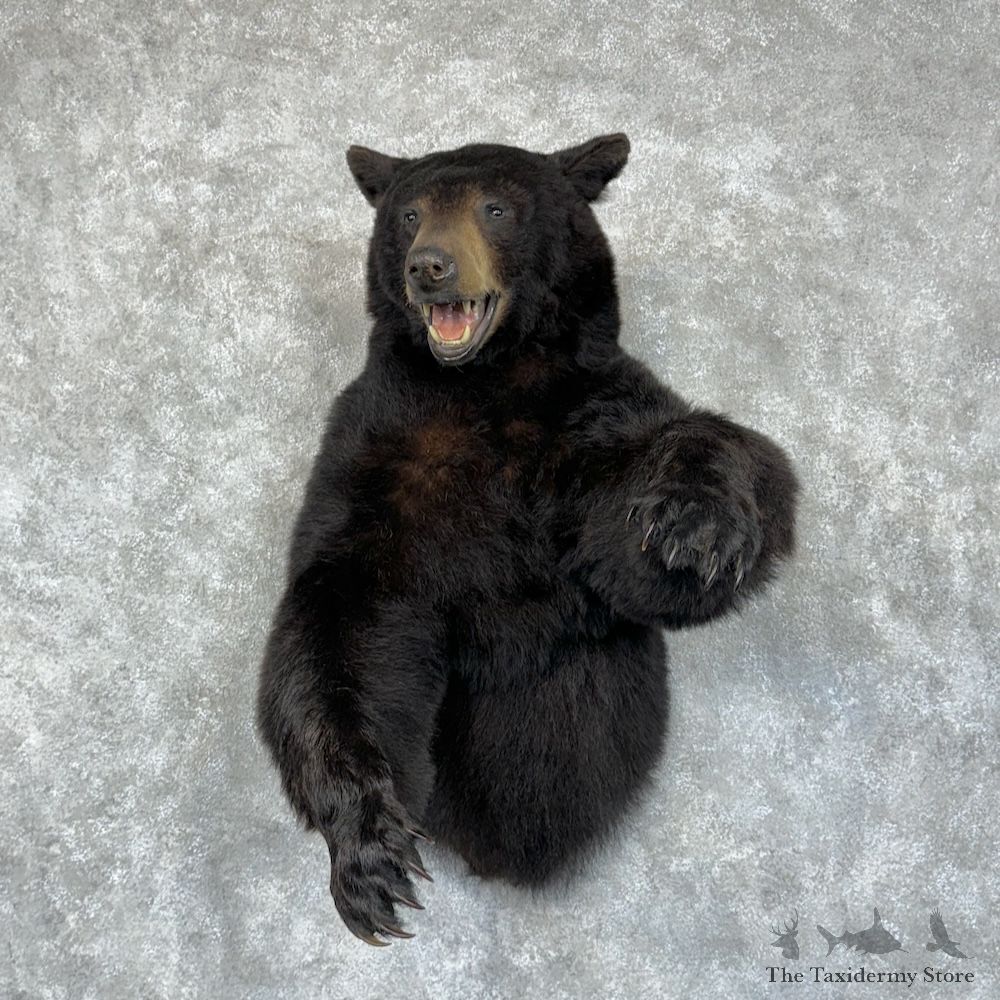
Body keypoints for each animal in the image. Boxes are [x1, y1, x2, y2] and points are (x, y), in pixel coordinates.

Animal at [256, 134, 799, 946]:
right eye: (409, 213)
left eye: (497, 208)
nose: (429, 266)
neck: (486, 386)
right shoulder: (377, 451)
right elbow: (342, 614)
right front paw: (369, 852)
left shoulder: (584, 423)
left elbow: (657, 520)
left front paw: (696, 524)